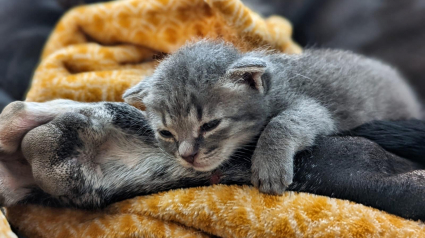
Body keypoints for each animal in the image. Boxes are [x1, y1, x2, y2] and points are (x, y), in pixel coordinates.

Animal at [123, 40, 420, 194]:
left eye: (210, 125)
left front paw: (269, 165)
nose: (187, 156)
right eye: (166, 133)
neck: (276, 85)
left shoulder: (316, 110)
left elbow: (282, 122)